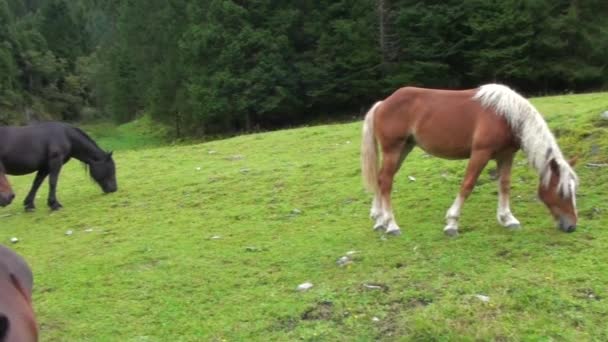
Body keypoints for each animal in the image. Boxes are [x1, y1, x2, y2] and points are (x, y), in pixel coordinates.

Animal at [360, 84, 580, 236]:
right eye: (562, 191)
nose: (572, 226)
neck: (505, 115)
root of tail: (383, 103)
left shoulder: (506, 155)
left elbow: (504, 185)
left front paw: (508, 219)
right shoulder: (480, 153)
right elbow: (468, 184)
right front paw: (452, 223)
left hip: (404, 149)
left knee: (381, 179)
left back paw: (379, 221)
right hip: (393, 149)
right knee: (386, 181)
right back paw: (391, 225)